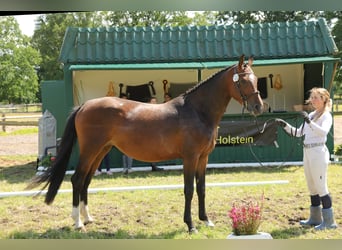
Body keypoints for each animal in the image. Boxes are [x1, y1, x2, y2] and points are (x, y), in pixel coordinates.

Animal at [28, 54, 264, 232]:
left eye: (256, 79)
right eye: (243, 81)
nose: (258, 107)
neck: (198, 111)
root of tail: (84, 106)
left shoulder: (203, 158)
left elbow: (202, 188)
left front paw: (206, 220)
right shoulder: (190, 158)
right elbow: (189, 189)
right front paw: (190, 225)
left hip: (100, 151)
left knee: (85, 181)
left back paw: (88, 218)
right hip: (90, 150)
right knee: (77, 180)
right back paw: (78, 222)